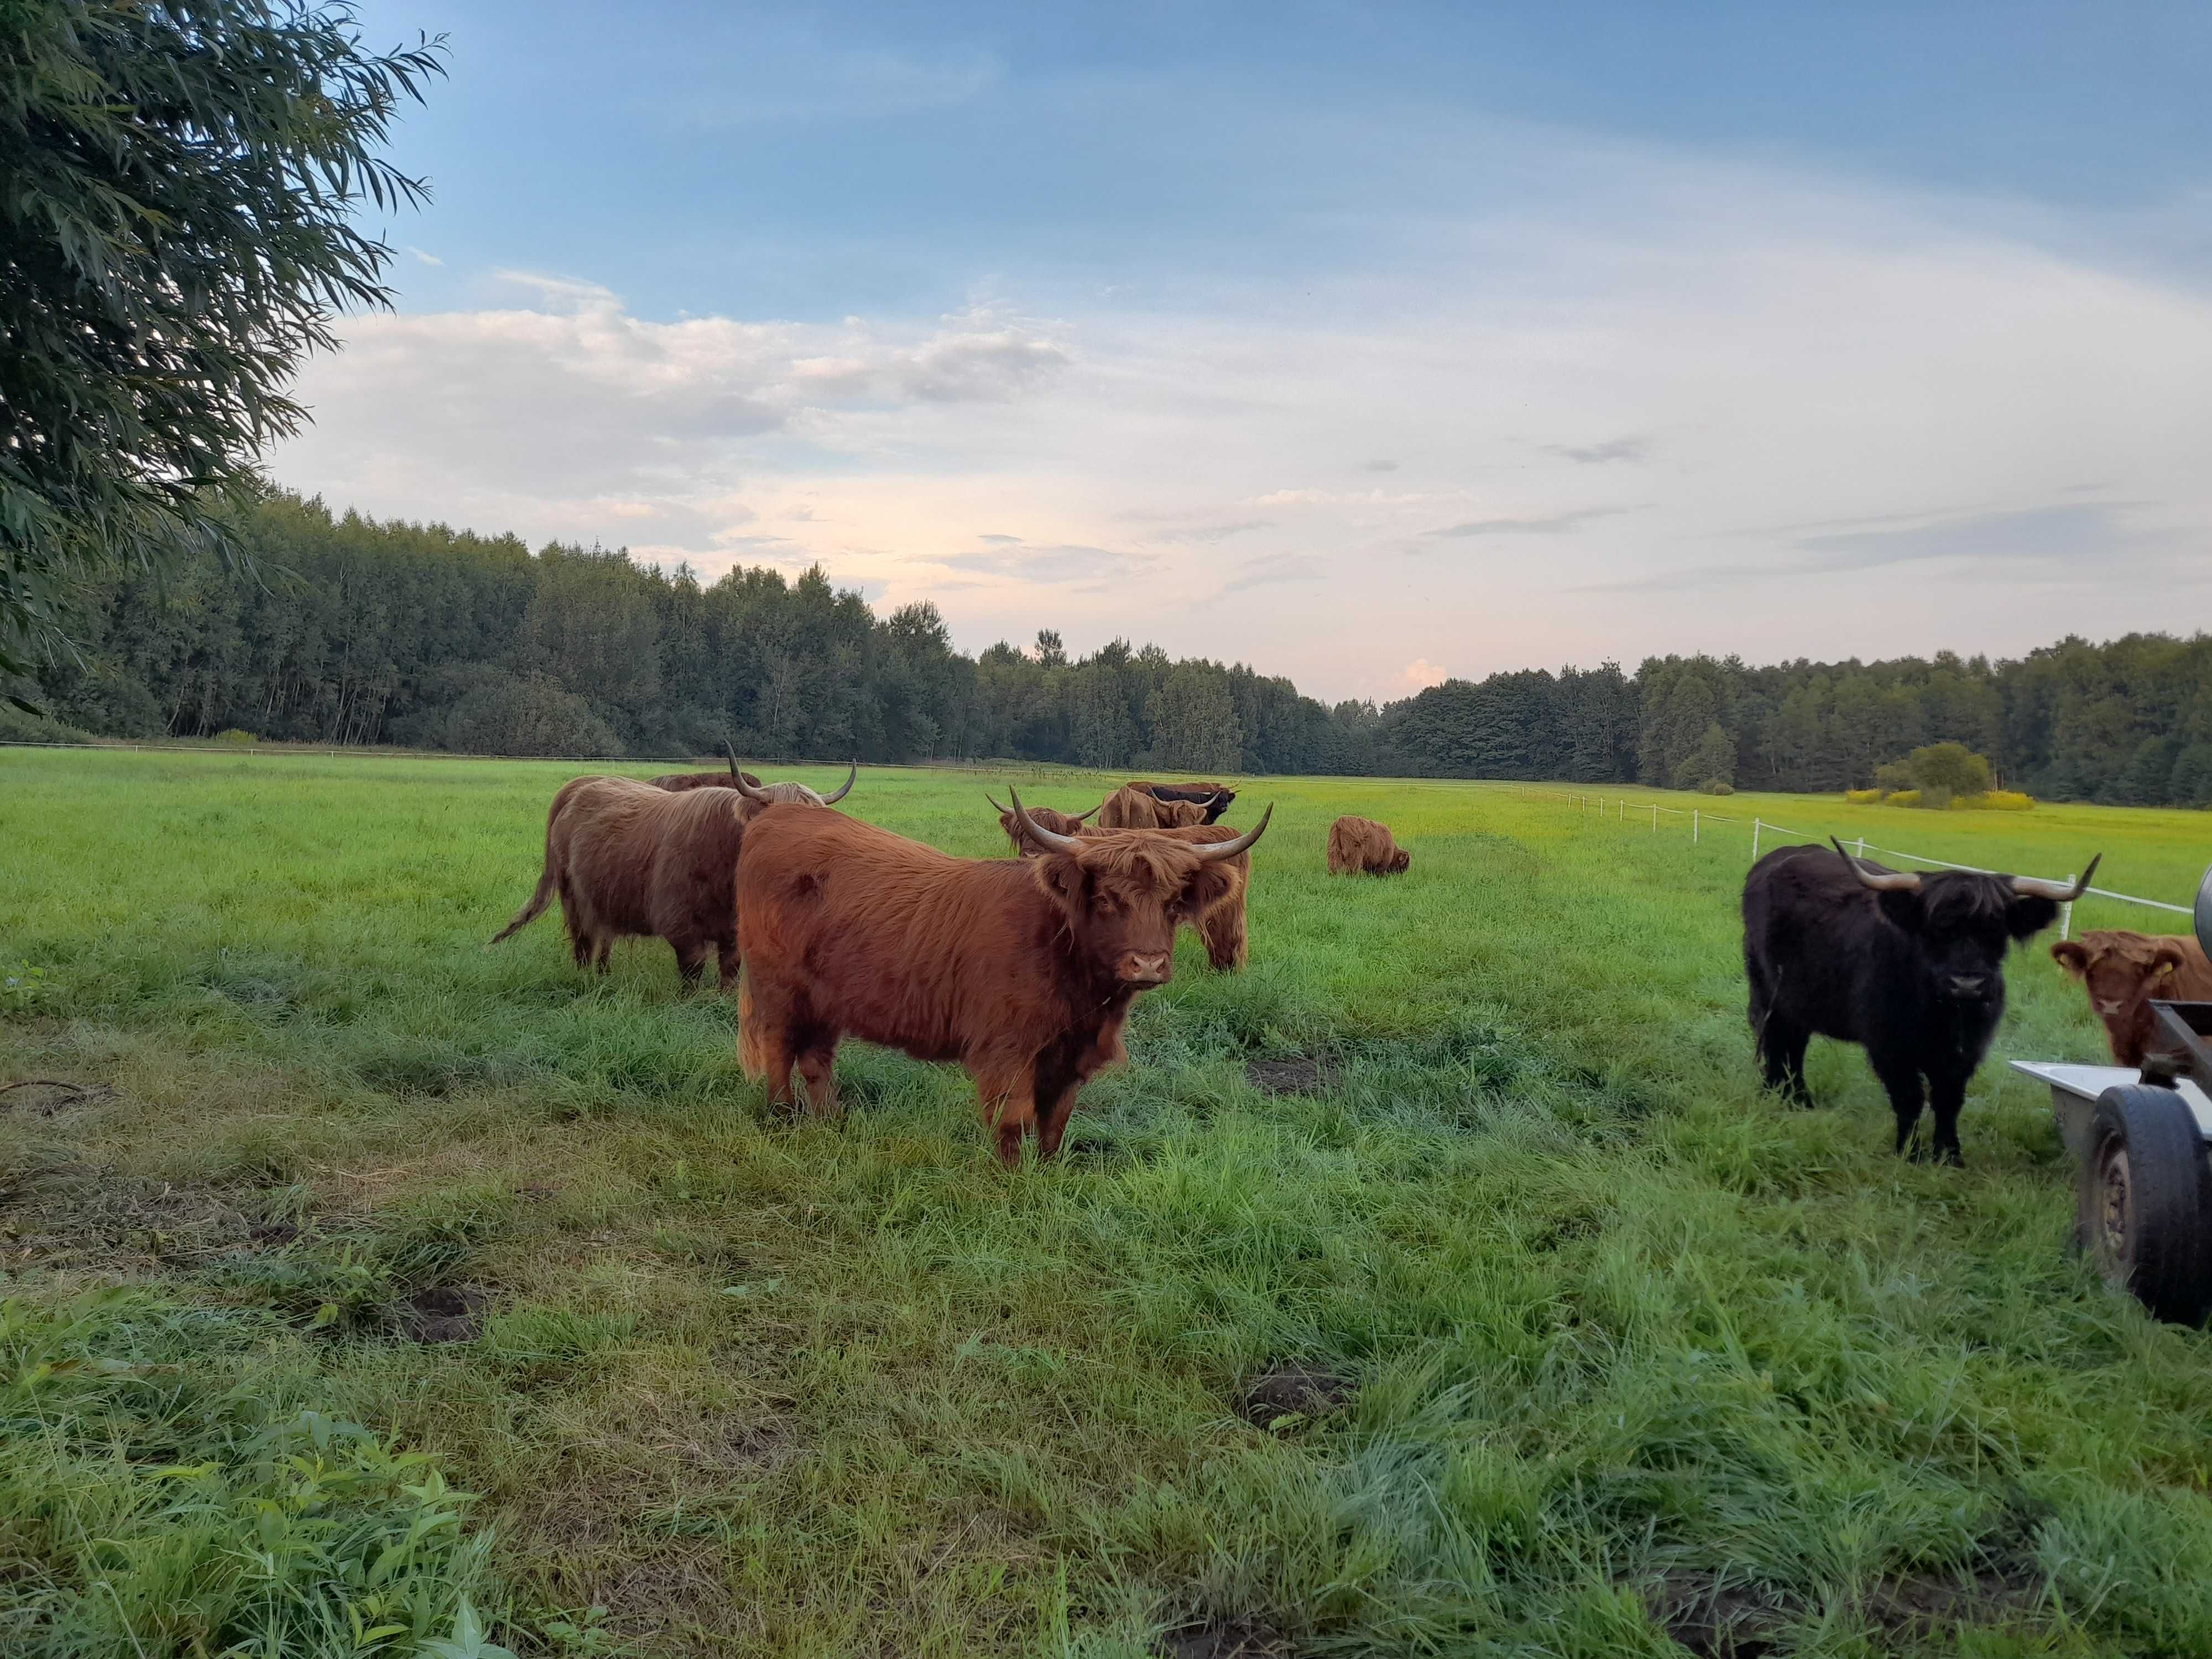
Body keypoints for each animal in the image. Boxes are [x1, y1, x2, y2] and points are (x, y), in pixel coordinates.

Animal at [491, 765, 845, 987]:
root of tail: (584, 783)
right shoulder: (679, 922)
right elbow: (693, 967)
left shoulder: (736, 928)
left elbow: (730, 967)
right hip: (574, 895)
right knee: (583, 940)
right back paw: (585, 979)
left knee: (604, 937)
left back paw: (605, 975)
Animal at [995, 796, 1256, 973]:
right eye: (1020, 832)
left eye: (1055, 830)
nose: (1031, 855)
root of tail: (1229, 832)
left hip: (1224, 912)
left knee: (1227, 943)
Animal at [1318, 823, 1407, 885]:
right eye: (1404, 865)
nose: (1401, 876)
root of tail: (1340, 824)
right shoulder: (1381, 865)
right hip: (1353, 857)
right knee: (1351, 870)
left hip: (1334, 851)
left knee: (1334, 867)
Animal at [1743, 836, 2088, 1159]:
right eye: (1935, 929)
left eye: (1997, 930)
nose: (1967, 983)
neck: (1941, 1014)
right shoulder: (1889, 1046)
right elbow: (1910, 1098)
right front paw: (1909, 1152)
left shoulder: (1966, 1050)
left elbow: (1949, 1099)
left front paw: (1949, 1155)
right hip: (1767, 990)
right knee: (1774, 1040)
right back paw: (1774, 1093)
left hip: (1799, 1000)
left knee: (1794, 1046)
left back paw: (1799, 1099)